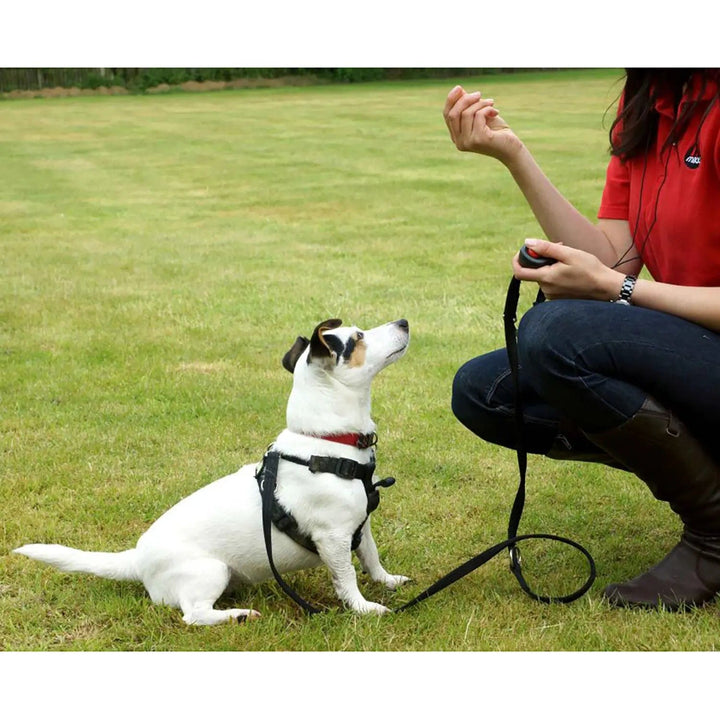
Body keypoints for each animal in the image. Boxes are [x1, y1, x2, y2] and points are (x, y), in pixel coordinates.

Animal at [15, 318, 410, 620]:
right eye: (358, 338)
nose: (404, 322)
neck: (325, 442)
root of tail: (137, 560)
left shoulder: (360, 525)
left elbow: (371, 557)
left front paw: (387, 581)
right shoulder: (333, 539)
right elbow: (347, 579)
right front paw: (365, 608)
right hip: (209, 571)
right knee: (194, 614)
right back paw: (236, 616)